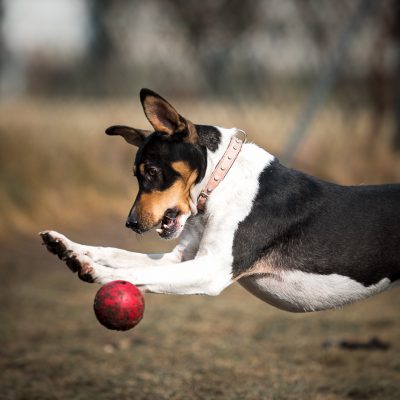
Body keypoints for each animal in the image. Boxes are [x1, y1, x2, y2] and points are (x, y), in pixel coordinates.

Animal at [40, 89, 400, 312]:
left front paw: (92, 270)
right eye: (136, 175)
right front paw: (66, 247)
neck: (220, 183)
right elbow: (117, 253)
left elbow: (134, 272)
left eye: (153, 171)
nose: (131, 223)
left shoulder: (210, 269)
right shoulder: (181, 258)